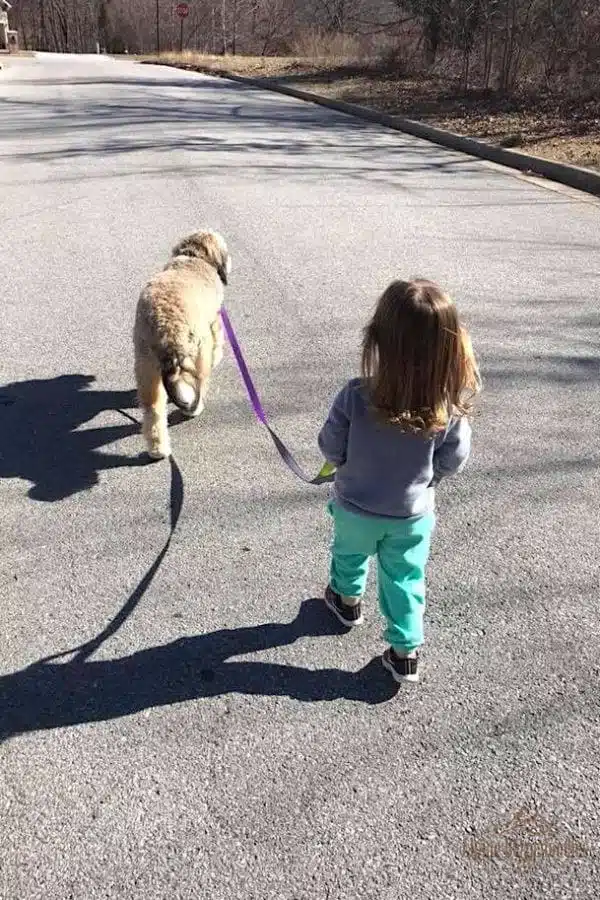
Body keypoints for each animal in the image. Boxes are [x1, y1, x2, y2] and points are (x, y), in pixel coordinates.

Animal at [135, 229, 231, 460]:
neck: (194, 256)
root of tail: (166, 333)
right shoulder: (214, 321)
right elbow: (218, 342)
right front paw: (219, 357)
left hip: (145, 363)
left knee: (153, 409)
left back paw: (158, 449)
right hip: (198, 354)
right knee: (199, 384)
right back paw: (194, 409)